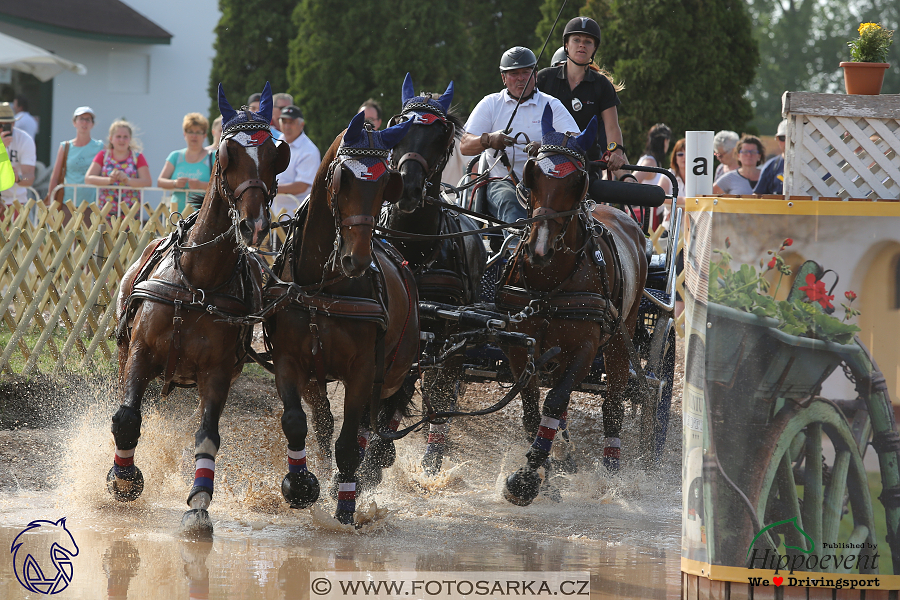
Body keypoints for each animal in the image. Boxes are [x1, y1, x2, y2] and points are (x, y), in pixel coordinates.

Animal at [110, 83, 290, 536]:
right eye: (227, 155)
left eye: (276, 156)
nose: (253, 224)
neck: (198, 281)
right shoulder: (140, 352)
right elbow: (127, 418)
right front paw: (123, 479)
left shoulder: (217, 373)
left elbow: (207, 434)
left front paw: (199, 504)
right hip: (125, 355)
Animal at [264, 109, 418, 524]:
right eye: (343, 178)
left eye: (384, 184)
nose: (356, 259)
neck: (324, 286)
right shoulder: (290, 361)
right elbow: (296, 422)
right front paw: (300, 485)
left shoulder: (363, 369)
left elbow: (349, 442)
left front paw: (346, 508)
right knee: (324, 423)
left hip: (391, 374)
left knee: (368, 427)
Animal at [372, 75, 486, 476]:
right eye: (395, 128)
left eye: (441, 137)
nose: (407, 188)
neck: (415, 248)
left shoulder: (441, 333)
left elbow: (428, 389)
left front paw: (378, 455)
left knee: (441, 390)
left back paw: (434, 452)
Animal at [500, 105, 648, 504]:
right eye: (532, 174)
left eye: (576, 182)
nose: (539, 249)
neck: (549, 283)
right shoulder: (520, 346)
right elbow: (532, 409)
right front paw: (544, 472)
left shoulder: (584, 348)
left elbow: (553, 403)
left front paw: (527, 477)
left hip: (620, 338)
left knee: (612, 401)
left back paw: (611, 468)